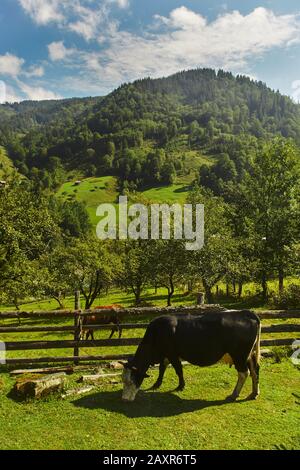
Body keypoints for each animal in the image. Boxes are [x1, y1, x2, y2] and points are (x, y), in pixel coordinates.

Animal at [121, 310, 260, 402]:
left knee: (244, 373)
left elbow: (178, 370)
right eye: (123, 380)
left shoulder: (172, 354)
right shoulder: (166, 354)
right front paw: (157, 384)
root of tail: (245, 313)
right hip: (249, 355)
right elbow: (162, 369)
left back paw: (234, 395)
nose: (124, 399)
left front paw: (181, 386)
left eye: (131, 380)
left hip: (239, 355)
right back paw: (253, 393)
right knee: (255, 370)